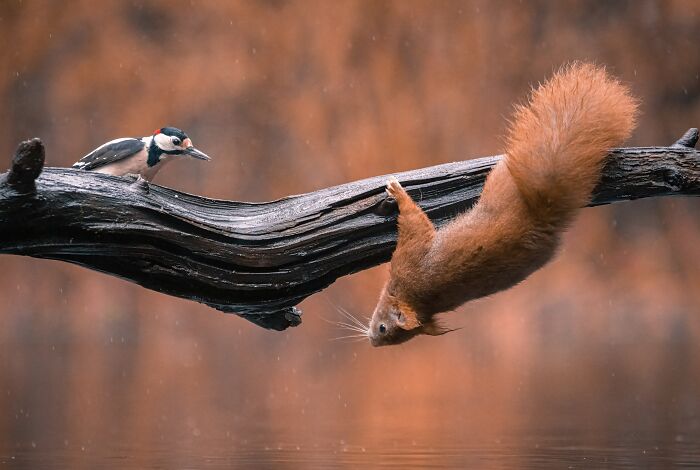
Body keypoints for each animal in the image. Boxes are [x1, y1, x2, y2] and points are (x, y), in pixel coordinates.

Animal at [367, 63, 638, 347]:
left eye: (384, 329)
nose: (372, 340)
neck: (415, 298)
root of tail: (541, 214)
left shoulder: (411, 256)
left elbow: (413, 221)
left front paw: (397, 192)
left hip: (500, 180)